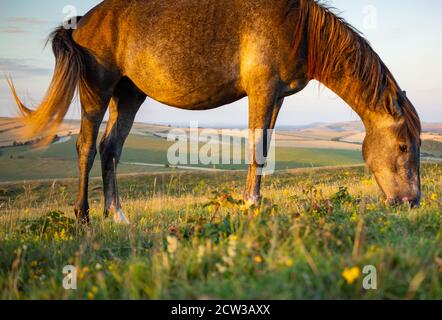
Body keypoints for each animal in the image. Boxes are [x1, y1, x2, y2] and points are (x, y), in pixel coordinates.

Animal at [7, 0, 422, 224]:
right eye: (403, 147)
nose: (412, 202)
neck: (298, 28)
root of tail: (79, 23)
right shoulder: (262, 90)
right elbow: (257, 148)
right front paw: (250, 205)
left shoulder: (277, 96)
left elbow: (265, 147)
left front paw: (252, 203)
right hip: (98, 90)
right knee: (85, 147)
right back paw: (83, 217)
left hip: (129, 95)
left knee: (110, 148)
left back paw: (119, 216)